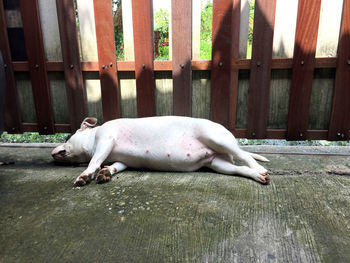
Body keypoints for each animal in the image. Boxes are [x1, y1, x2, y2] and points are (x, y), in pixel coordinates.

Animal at [52, 116, 270, 187]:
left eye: (67, 138)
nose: (53, 155)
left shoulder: (106, 139)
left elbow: (94, 161)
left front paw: (84, 177)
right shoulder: (123, 160)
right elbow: (115, 166)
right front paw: (106, 173)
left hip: (216, 138)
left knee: (245, 155)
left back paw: (260, 169)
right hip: (218, 163)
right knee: (238, 168)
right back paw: (260, 176)